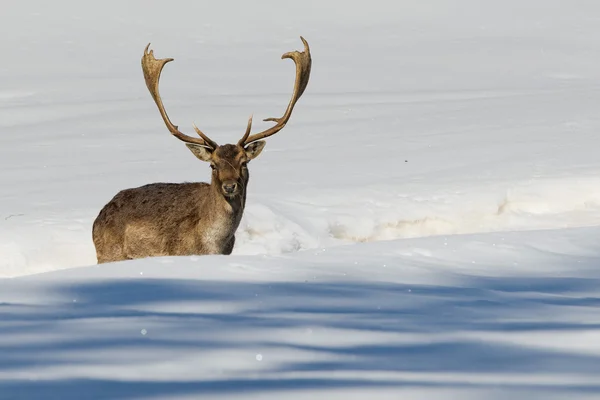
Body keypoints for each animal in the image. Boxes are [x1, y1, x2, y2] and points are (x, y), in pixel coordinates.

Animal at [92, 36, 314, 262]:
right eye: (212, 165)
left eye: (244, 163)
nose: (229, 186)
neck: (213, 245)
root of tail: (98, 219)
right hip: (109, 254)